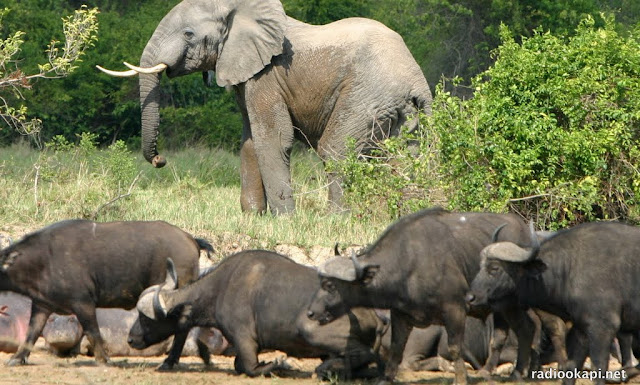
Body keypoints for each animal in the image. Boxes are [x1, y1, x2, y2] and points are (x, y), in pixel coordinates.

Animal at [99, 0, 430, 214]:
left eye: (188, 34)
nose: (160, 160)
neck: (239, 9)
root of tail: (419, 81)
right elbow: (249, 141)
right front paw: (252, 216)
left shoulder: (266, 75)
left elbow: (273, 138)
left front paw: (285, 220)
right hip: (396, 109)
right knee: (401, 158)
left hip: (367, 94)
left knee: (336, 150)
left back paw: (336, 219)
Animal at [127, 249, 382, 378]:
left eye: (144, 318)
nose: (131, 339)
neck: (221, 286)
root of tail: (375, 317)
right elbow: (239, 365)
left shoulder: (244, 339)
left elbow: (249, 368)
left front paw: (279, 365)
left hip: (311, 330)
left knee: (365, 353)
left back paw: (326, 368)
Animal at [464, 219, 640, 384]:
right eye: (480, 266)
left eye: (495, 268)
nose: (470, 298)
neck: (570, 268)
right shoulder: (581, 329)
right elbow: (572, 368)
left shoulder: (602, 328)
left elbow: (598, 369)